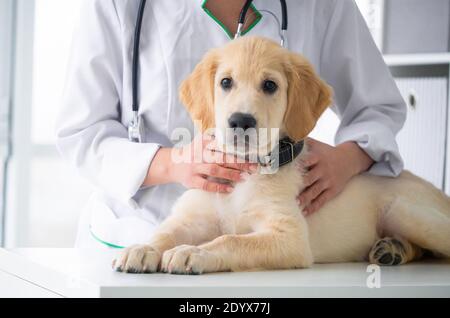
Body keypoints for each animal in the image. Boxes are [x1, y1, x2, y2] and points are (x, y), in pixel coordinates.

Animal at [114, 35, 450, 274]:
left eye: (270, 85)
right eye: (226, 82)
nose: (241, 121)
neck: (245, 173)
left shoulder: (290, 238)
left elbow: (230, 239)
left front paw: (193, 251)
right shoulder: (190, 218)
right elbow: (164, 232)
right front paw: (142, 248)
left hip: (407, 212)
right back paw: (391, 249)